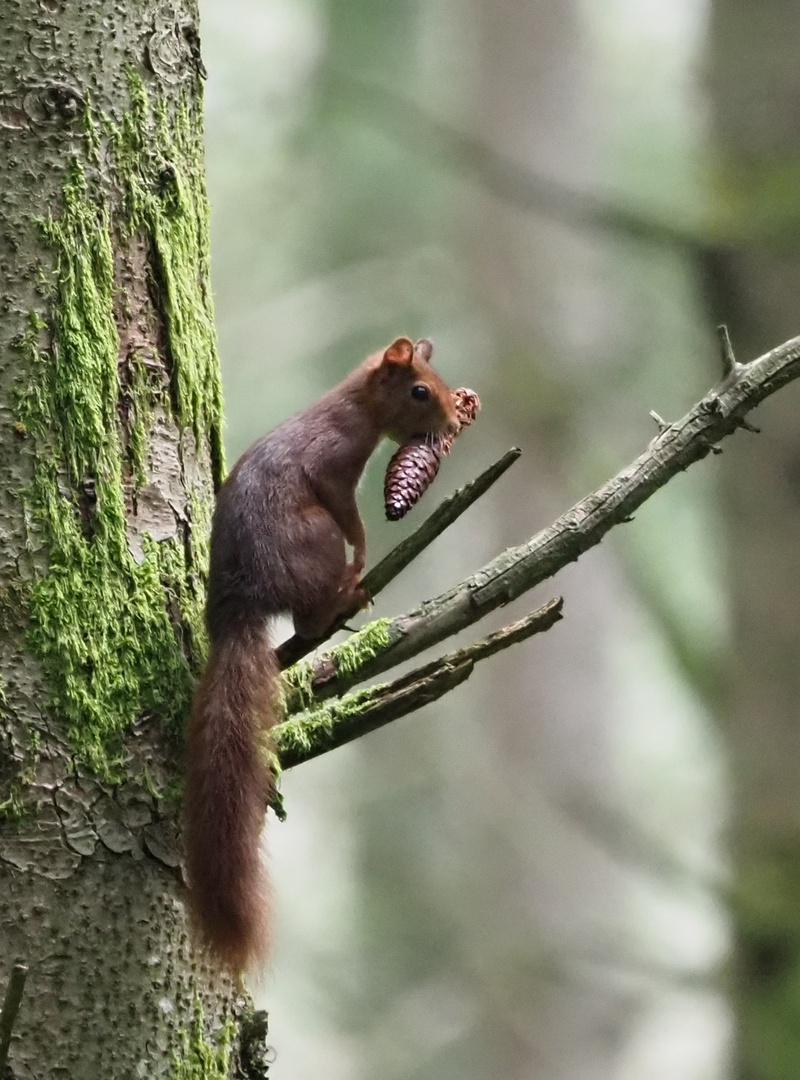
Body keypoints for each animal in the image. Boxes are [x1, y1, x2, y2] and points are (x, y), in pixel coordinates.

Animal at [181, 334, 455, 972]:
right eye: (420, 390)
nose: (457, 420)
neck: (356, 407)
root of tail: (239, 603)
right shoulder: (332, 465)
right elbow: (348, 511)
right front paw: (365, 551)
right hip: (313, 539)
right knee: (308, 612)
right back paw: (345, 594)